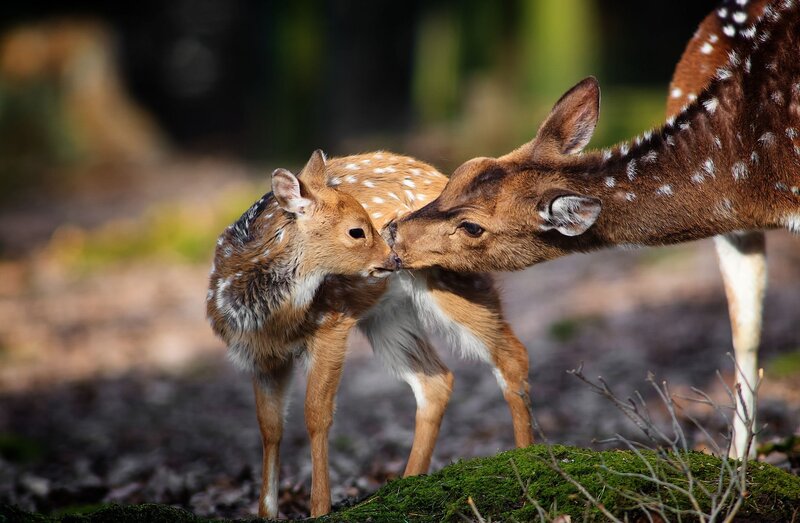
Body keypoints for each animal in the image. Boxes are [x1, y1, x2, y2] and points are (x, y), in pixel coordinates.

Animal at [207, 150, 532, 518]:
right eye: (356, 231)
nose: (393, 255)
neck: (271, 317)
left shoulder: (331, 323)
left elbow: (316, 415)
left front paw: (320, 508)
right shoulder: (260, 358)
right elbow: (269, 427)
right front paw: (267, 513)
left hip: (456, 280)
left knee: (512, 355)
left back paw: (526, 461)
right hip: (388, 316)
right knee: (436, 379)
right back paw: (409, 482)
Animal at [390, 0, 800, 460]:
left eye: (472, 227)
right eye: (461, 171)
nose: (393, 230)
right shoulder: (733, 225)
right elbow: (744, 330)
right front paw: (737, 465)